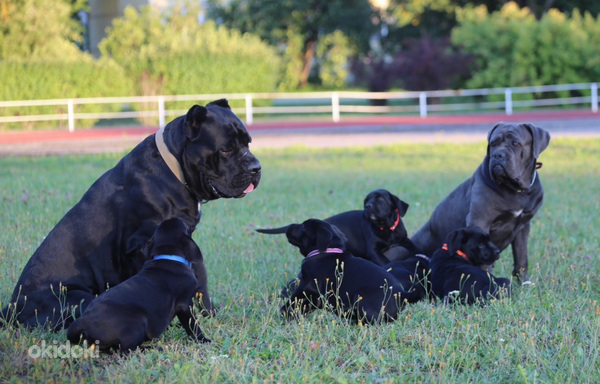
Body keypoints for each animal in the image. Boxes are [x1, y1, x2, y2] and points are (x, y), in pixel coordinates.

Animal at [1, 99, 262, 330]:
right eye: (225, 149)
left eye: (248, 143)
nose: (256, 167)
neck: (175, 167)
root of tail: (12, 309)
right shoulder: (140, 245)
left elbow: (200, 281)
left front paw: (210, 312)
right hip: (75, 296)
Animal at [66, 218, 210, 352]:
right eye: (183, 224)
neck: (168, 256)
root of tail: (81, 323)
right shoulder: (185, 305)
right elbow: (193, 326)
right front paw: (203, 340)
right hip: (137, 323)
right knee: (127, 350)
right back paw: (153, 348)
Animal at [256, 188, 418, 266]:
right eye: (366, 200)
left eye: (380, 199)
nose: (368, 206)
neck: (386, 228)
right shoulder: (373, 250)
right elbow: (385, 261)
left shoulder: (404, 239)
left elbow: (414, 248)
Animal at [280, 219, 408, 324]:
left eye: (302, 227)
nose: (289, 226)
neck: (326, 251)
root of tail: (402, 295)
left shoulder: (305, 286)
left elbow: (292, 301)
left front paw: (284, 313)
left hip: (361, 299)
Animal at [404, 123, 548, 282]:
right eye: (493, 144)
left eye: (516, 143)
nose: (498, 155)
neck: (514, 189)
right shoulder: (480, 221)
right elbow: (485, 260)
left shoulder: (523, 226)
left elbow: (522, 258)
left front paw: (524, 283)